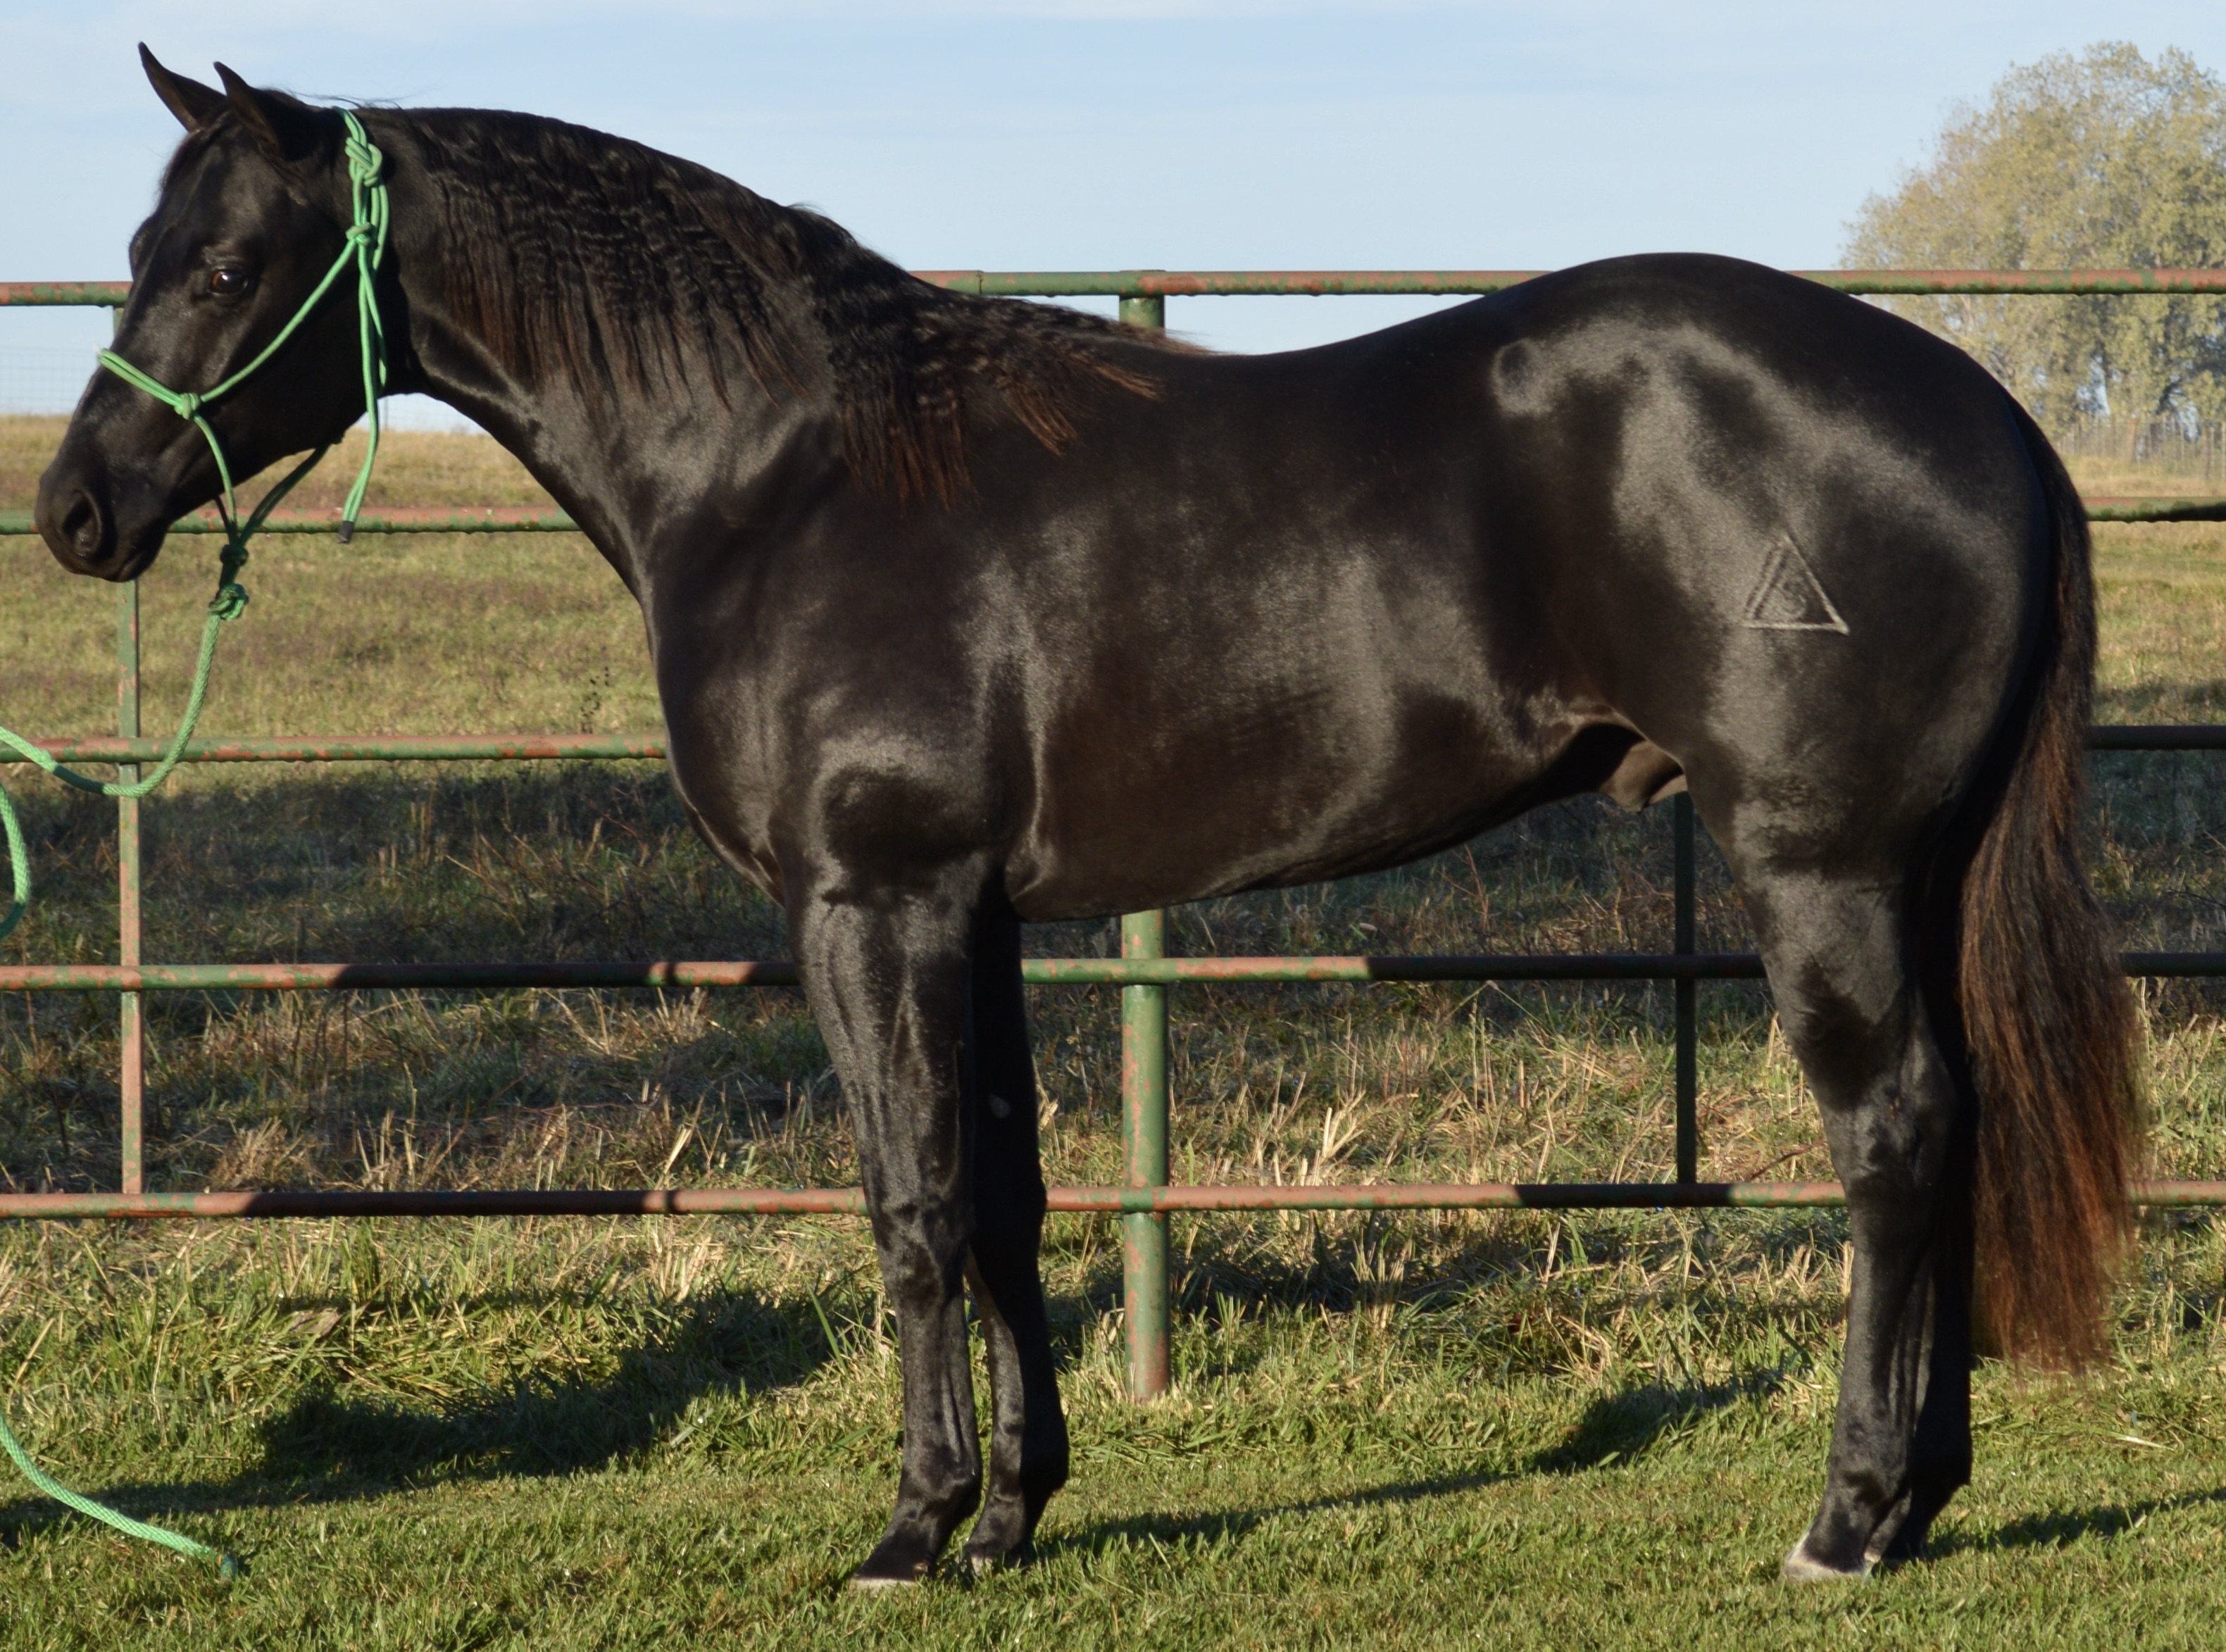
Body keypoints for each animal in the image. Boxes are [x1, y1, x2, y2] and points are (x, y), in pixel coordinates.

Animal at [36, 51, 2140, 1586]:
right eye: (138, 239)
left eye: (223, 265)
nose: (77, 509)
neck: (782, 475)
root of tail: (1987, 409)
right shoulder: (968, 915)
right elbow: (1005, 1199)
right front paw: (1015, 1513)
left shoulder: (868, 903)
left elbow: (907, 1206)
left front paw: (908, 1531)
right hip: (1905, 878)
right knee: (1955, 1129)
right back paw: (1920, 1497)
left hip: (1821, 870)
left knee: (1893, 1139)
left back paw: (1845, 1519)